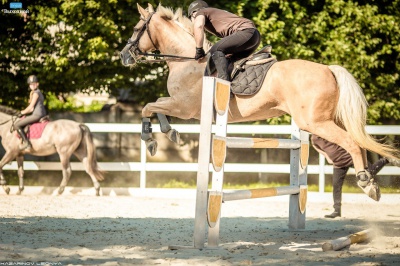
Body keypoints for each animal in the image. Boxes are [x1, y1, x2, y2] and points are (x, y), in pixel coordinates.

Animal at [119, 4, 400, 201]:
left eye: (135, 29)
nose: (123, 56)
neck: (185, 59)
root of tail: (329, 69)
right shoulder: (177, 104)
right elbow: (155, 104)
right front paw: (169, 133)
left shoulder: (183, 107)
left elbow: (148, 106)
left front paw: (150, 139)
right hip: (325, 120)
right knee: (360, 142)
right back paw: (372, 178)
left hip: (316, 122)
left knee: (352, 143)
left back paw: (366, 183)